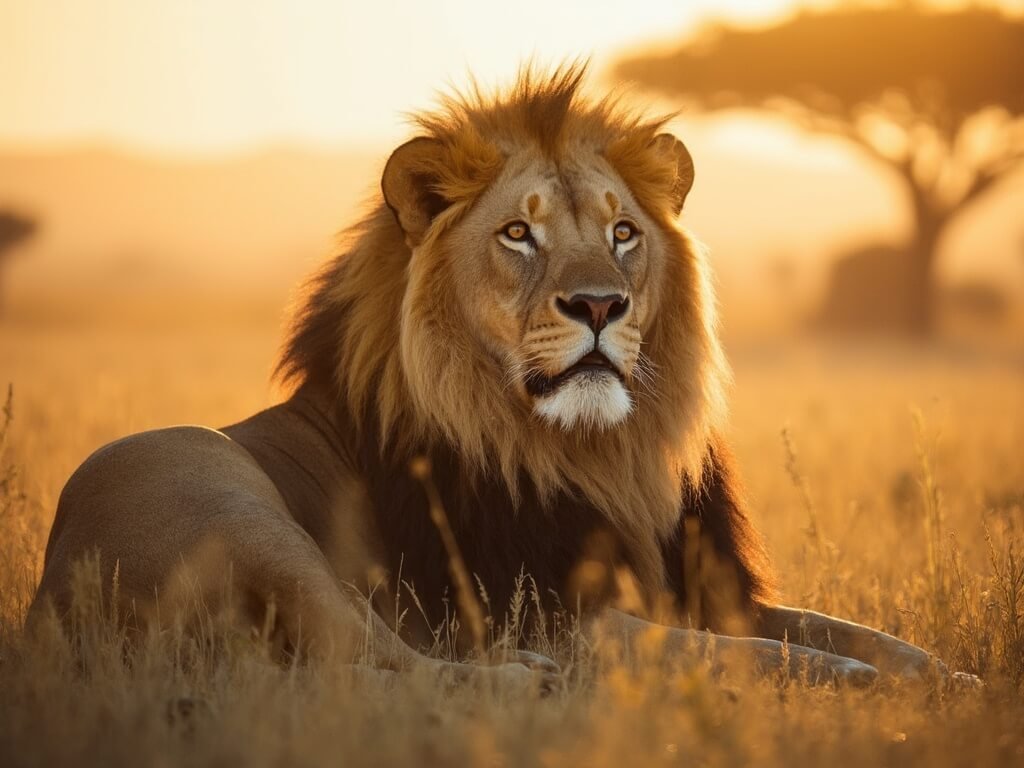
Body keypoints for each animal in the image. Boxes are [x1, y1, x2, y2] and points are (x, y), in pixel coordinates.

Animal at [30, 65, 958, 689]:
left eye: (623, 232)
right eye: (518, 233)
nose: (599, 304)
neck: (603, 454)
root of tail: (43, 607)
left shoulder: (702, 581)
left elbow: (857, 631)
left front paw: (952, 679)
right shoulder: (559, 614)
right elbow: (753, 650)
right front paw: (862, 687)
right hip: (227, 498)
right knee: (388, 668)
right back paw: (522, 680)